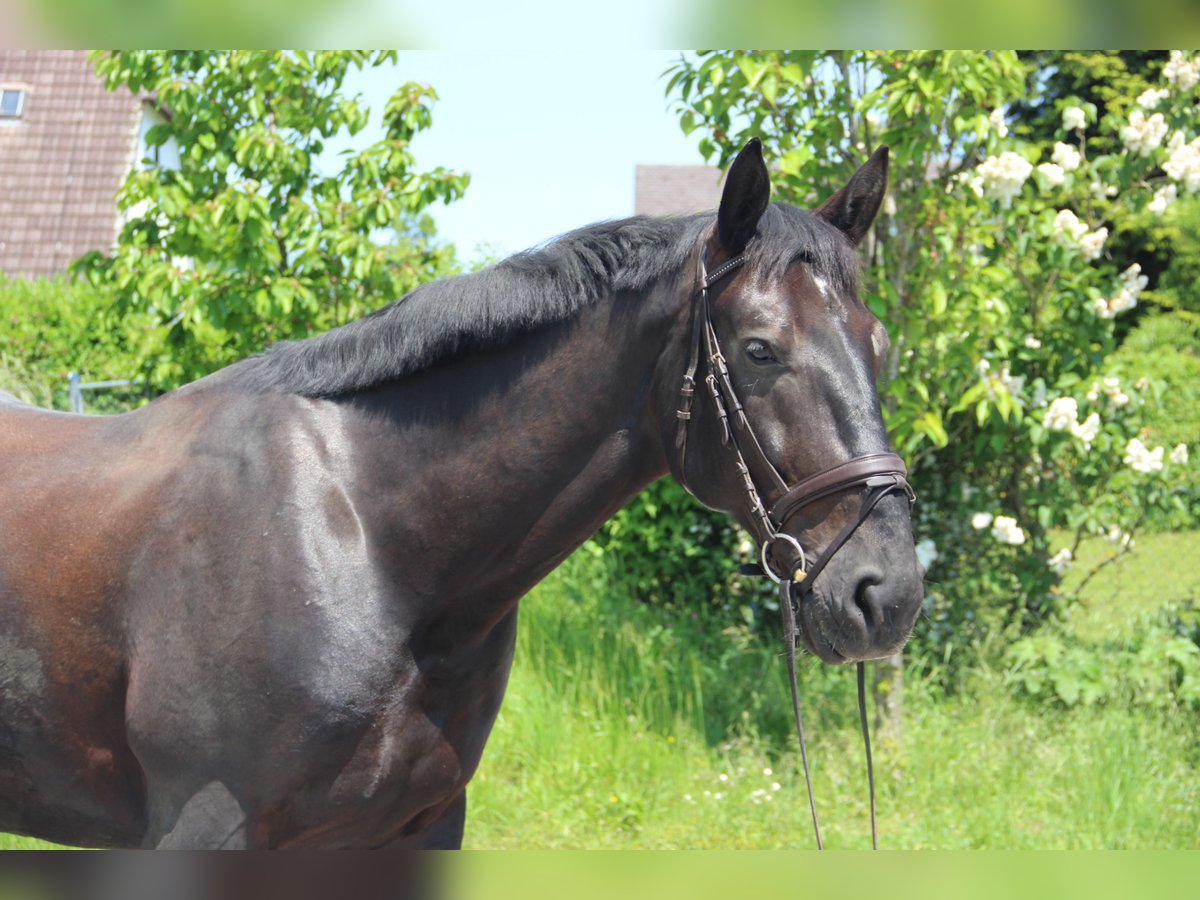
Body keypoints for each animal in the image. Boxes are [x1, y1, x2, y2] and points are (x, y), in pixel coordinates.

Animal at [0, 137, 926, 849]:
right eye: (761, 349)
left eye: (879, 345)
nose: (888, 594)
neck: (372, 543)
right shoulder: (205, 829)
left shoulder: (421, 824)